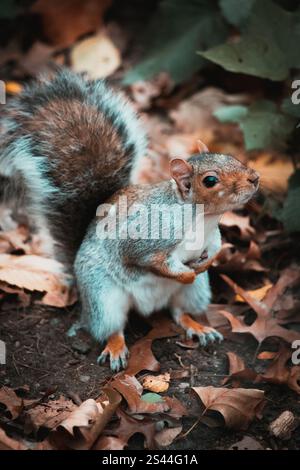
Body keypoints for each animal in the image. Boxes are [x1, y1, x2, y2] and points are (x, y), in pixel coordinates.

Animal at [74, 151, 258, 370]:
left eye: (233, 158)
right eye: (210, 181)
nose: (255, 178)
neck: (204, 218)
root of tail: (149, 305)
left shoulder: (213, 237)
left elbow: (215, 248)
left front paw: (203, 265)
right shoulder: (144, 240)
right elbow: (152, 261)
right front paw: (188, 274)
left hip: (193, 293)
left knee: (180, 313)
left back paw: (198, 327)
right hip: (102, 295)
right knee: (111, 326)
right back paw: (115, 347)